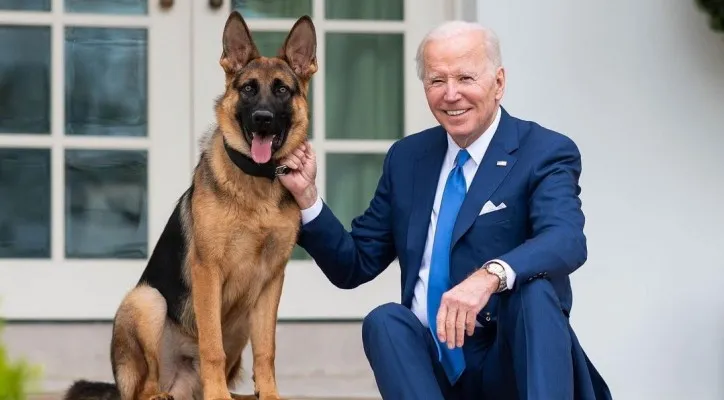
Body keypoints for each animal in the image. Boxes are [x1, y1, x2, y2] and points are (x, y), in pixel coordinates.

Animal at [63, 10, 318, 400]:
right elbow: (211, 345)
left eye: (281, 90)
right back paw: (168, 394)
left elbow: (266, 350)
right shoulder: (207, 271)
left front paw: (270, 393)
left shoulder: (272, 281)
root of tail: (181, 385)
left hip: (240, 321)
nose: (262, 118)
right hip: (146, 301)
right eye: (248, 89)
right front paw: (219, 396)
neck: (256, 183)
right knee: (144, 387)